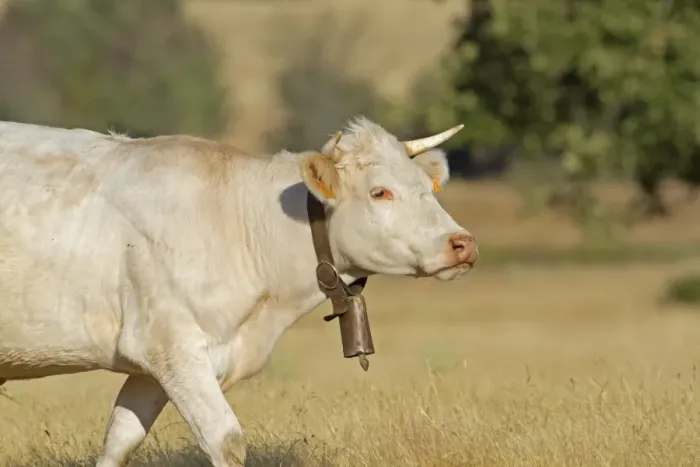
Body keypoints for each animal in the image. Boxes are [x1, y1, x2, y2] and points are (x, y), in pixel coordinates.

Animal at [0, 116, 478, 467]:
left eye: (428, 188)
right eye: (380, 192)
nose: (463, 243)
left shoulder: (150, 368)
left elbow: (119, 440)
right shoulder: (173, 348)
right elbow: (225, 440)